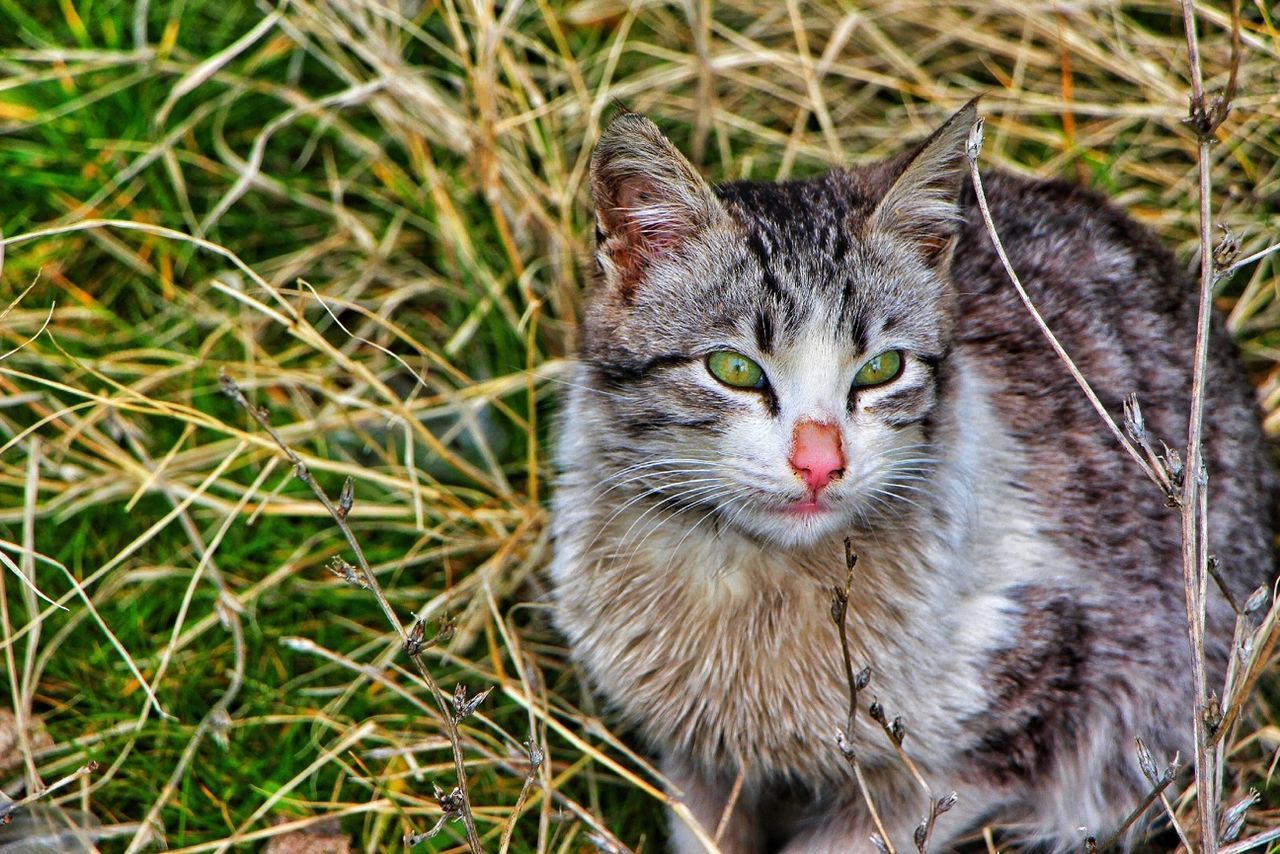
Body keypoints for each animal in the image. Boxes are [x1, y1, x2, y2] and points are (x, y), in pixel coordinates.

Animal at [545, 101, 1274, 854]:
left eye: (881, 369)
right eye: (734, 369)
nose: (819, 461)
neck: (755, 583)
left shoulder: (1004, 732)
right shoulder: (697, 756)